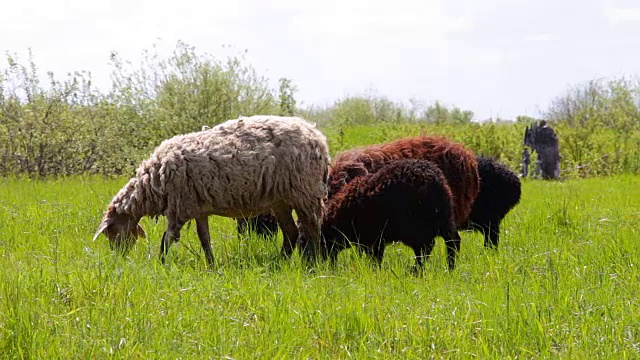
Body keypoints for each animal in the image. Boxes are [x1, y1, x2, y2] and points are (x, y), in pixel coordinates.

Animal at [93, 114, 332, 266]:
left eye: (111, 232)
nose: (118, 257)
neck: (152, 184)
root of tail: (317, 136)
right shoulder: (198, 208)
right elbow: (204, 239)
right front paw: (211, 265)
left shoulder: (179, 208)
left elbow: (167, 239)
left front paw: (159, 264)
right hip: (280, 199)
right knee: (291, 233)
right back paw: (279, 263)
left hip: (305, 191)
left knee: (312, 229)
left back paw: (315, 263)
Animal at [320, 158, 460, 270]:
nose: (324, 263)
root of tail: (434, 178)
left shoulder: (373, 239)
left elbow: (375, 257)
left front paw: (374, 270)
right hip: (445, 218)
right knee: (453, 241)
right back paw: (451, 267)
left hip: (416, 228)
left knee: (426, 248)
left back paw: (415, 270)